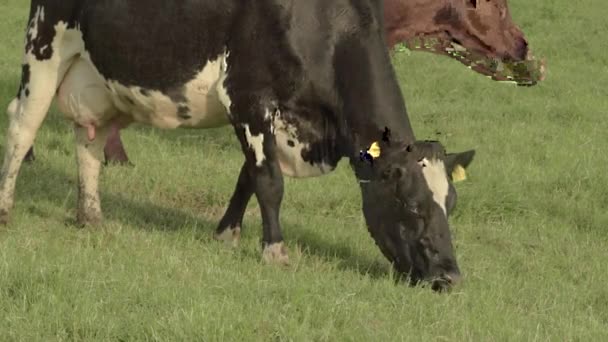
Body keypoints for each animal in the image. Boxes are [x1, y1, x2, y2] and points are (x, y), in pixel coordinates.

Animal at [0, 0, 476, 292]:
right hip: (44, 49)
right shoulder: (248, 97)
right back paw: (6, 210)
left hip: (102, 79)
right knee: (23, 127)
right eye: (412, 206)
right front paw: (274, 251)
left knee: (90, 140)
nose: (450, 277)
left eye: (450, 204)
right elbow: (269, 182)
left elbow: (247, 177)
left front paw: (226, 234)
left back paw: (91, 216)